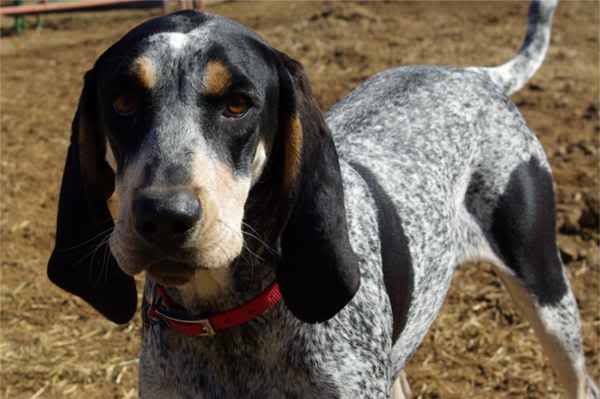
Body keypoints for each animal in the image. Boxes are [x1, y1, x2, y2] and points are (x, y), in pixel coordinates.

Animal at [48, 1, 600, 398]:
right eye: (122, 102)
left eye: (237, 105)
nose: (164, 216)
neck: (232, 316)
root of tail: (474, 75)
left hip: (547, 294)